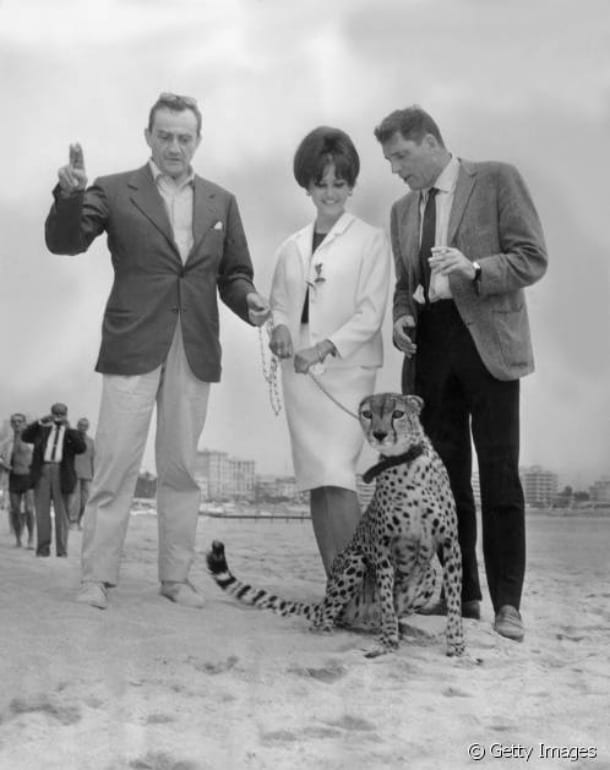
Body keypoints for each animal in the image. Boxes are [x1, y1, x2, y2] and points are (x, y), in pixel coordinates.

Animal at [207, 392, 464, 656]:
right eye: (367, 414)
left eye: (398, 413)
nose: (379, 434)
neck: (404, 462)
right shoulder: (382, 546)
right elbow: (386, 595)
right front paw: (388, 640)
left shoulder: (450, 542)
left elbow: (455, 598)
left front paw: (456, 643)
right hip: (355, 561)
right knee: (326, 616)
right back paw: (333, 628)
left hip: (429, 573)